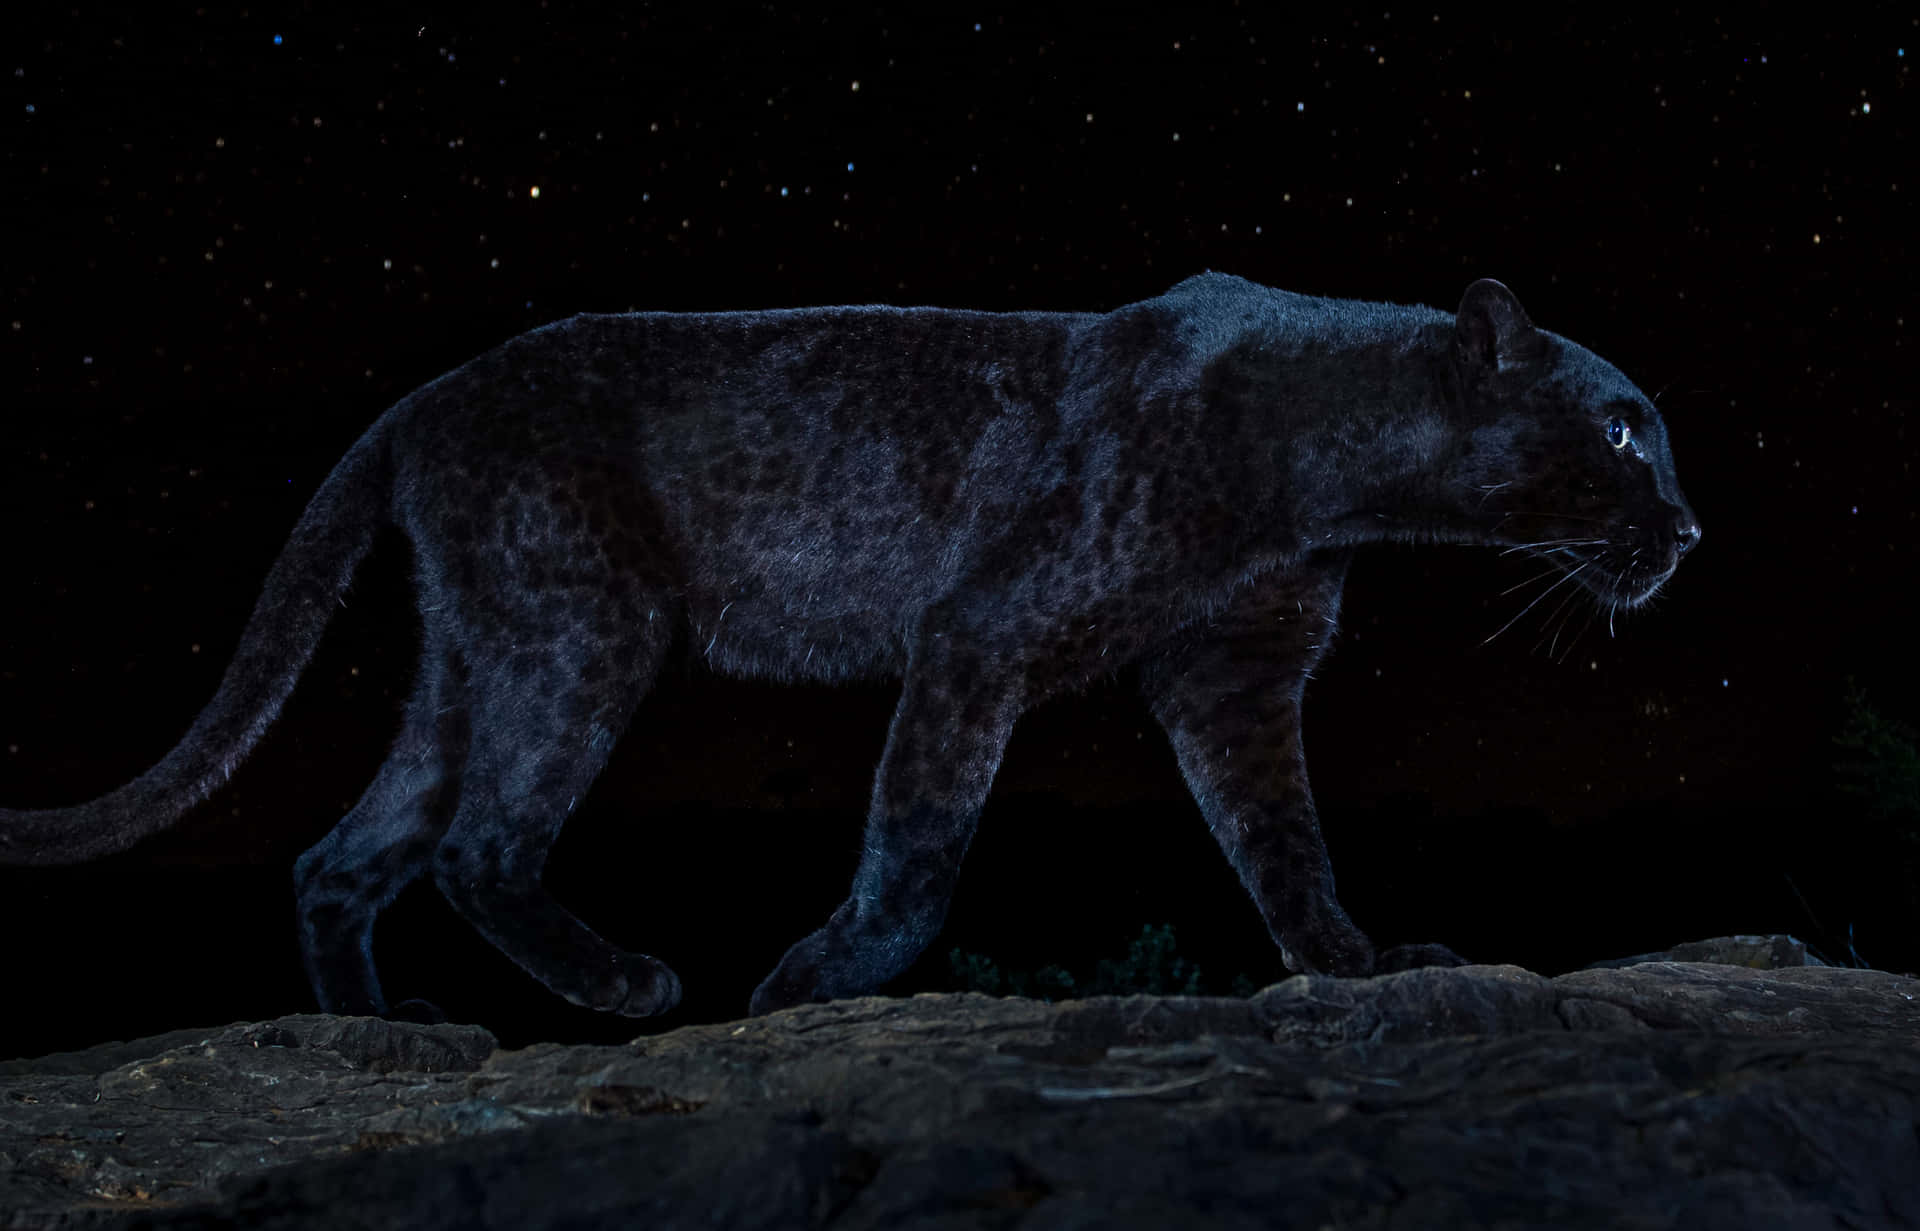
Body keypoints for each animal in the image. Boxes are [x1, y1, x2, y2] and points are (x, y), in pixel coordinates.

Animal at [0, 272, 1699, 1020]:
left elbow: (1283, 839)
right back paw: (623, 982)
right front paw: (814, 977)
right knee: (480, 839)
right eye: (1623, 429)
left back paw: (382, 1029)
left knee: (346, 850)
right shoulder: (979, 632)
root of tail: (419, 401)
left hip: (475, 648)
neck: (1333, 462)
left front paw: (1354, 961)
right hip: (585, 620)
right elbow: (922, 842)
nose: (1690, 530)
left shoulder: (1233, 675)